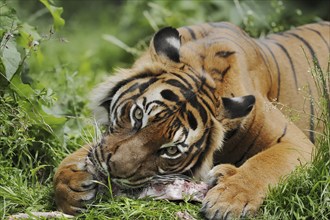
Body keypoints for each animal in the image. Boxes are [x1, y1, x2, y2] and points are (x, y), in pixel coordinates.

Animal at [54, 21, 330, 219]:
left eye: (171, 150)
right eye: (138, 115)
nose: (112, 171)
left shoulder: (294, 142)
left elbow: (264, 165)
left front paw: (228, 201)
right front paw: (70, 183)